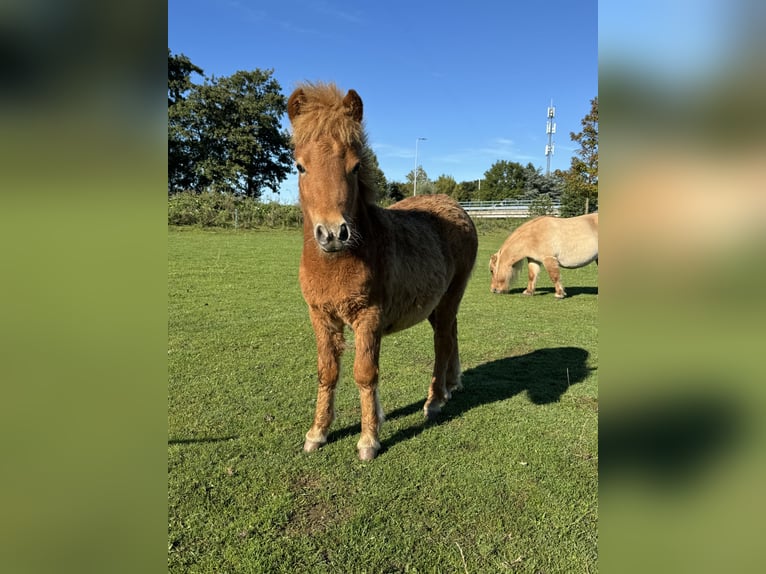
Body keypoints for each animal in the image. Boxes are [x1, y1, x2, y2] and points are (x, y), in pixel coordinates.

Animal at [290, 83, 480, 464]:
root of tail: (457, 208)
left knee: (442, 341)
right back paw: (450, 386)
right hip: (437, 303)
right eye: (300, 166)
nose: (333, 233)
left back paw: (434, 401)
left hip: (451, 296)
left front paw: (368, 439)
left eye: (355, 166)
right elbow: (327, 372)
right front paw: (317, 433)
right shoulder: (320, 316)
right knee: (451, 333)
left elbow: (365, 374)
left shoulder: (369, 316)